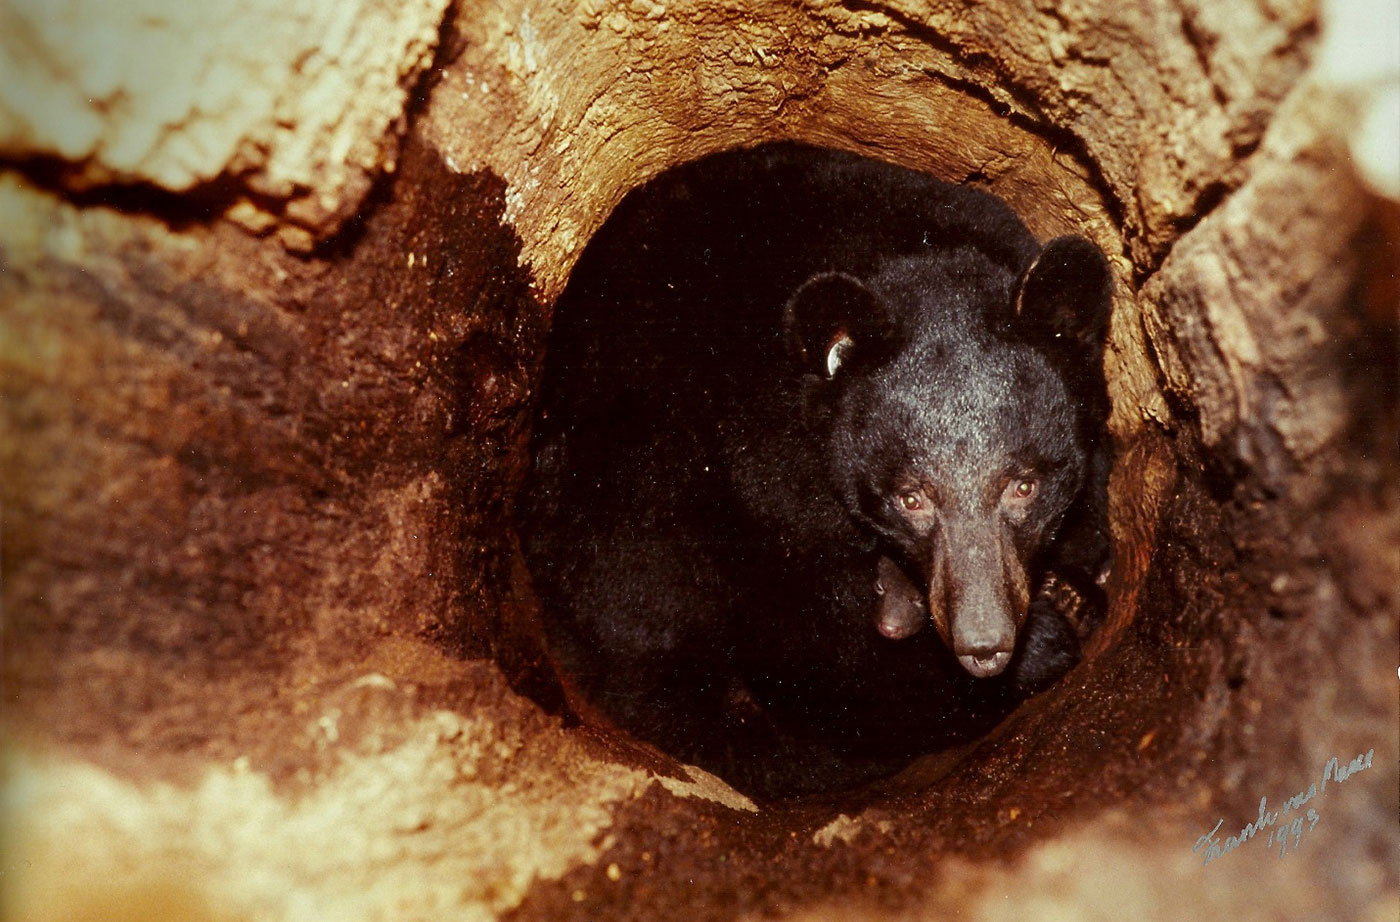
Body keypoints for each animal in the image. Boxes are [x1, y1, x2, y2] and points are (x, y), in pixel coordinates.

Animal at [520, 140, 1108, 794]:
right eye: (910, 498)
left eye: (1025, 486)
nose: (984, 644)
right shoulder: (763, 474)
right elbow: (810, 632)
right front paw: (1042, 639)